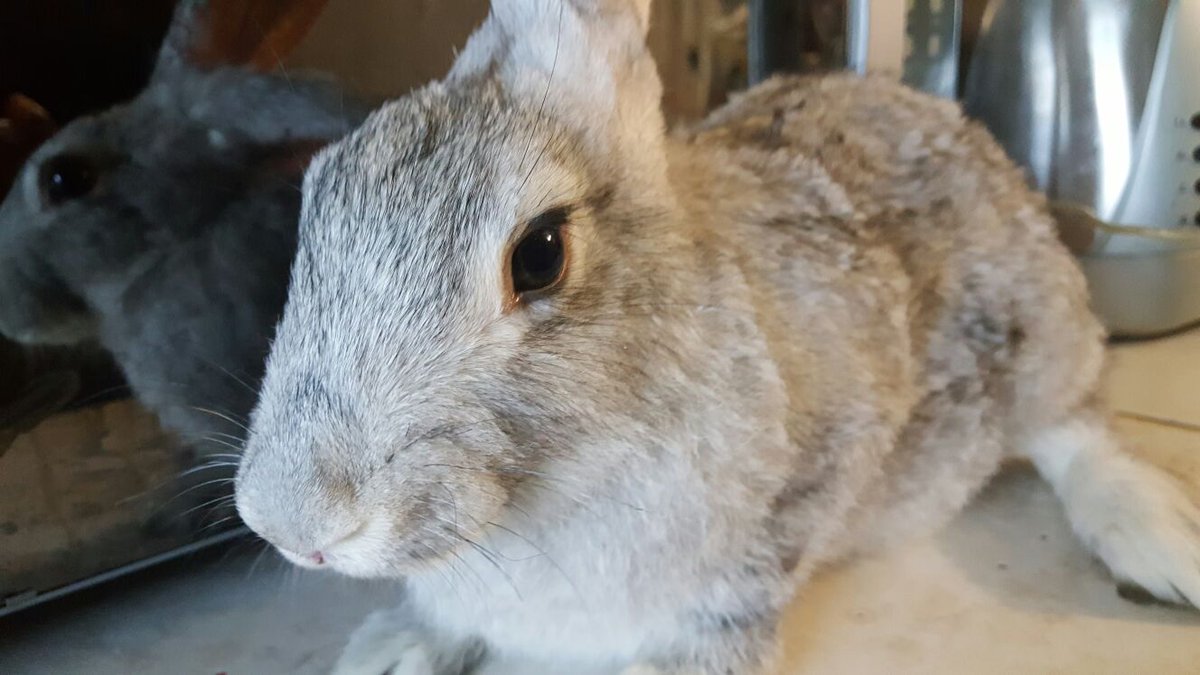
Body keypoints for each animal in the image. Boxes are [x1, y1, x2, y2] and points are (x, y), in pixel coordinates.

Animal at [233, 1, 1200, 673]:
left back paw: (1162, 542)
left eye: (540, 255)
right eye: (315, 199)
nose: (291, 524)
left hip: (1040, 325)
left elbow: (741, 589)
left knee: (1076, 433)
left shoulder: (820, 465)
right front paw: (398, 647)